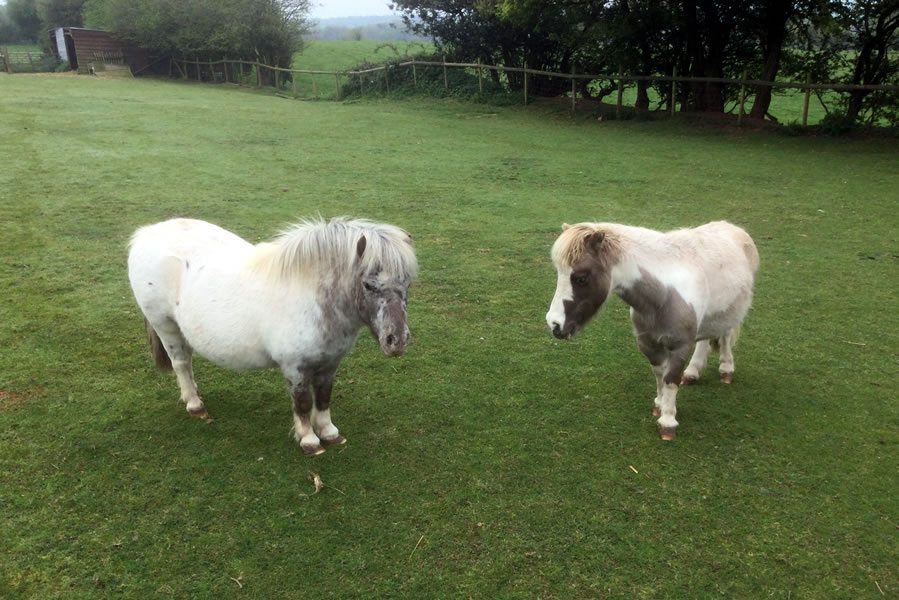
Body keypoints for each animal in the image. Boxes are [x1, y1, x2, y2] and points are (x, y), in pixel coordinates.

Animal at [127, 216, 417, 455]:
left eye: (407, 283)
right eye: (368, 284)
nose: (397, 340)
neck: (311, 299)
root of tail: (146, 233)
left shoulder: (330, 364)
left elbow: (324, 397)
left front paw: (329, 433)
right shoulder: (294, 367)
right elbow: (303, 403)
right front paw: (309, 441)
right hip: (166, 326)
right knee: (180, 363)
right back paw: (194, 404)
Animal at [545, 220, 759, 440]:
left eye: (581, 278)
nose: (554, 324)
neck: (663, 295)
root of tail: (734, 229)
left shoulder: (681, 346)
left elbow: (671, 379)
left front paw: (668, 421)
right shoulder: (648, 343)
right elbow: (659, 374)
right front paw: (660, 404)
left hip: (729, 314)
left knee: (725, 336)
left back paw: (726, 369)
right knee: (705, 340)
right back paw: (693, 372)